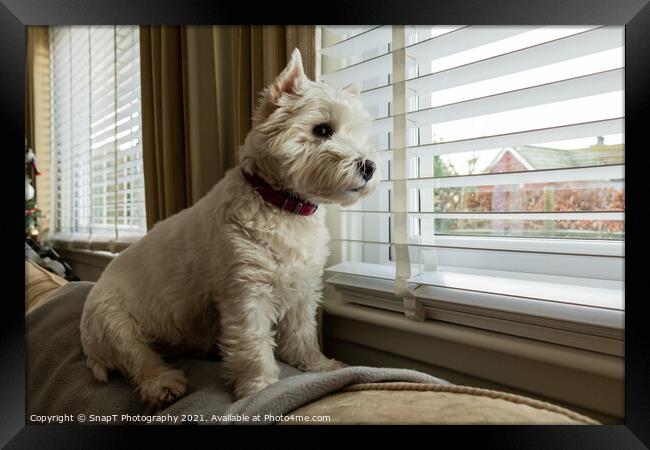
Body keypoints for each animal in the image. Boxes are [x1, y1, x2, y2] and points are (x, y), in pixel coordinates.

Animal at [78, 48, 378, 404]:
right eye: (321, 130)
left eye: (357, 133)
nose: (369, 167)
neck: (283, 205)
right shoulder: (246, 292)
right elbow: (254, 344)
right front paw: (260, 388)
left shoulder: (303, 289)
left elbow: (302, 332)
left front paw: (318, 365)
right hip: (114, 321)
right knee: (138, 358)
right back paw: (164, 384)